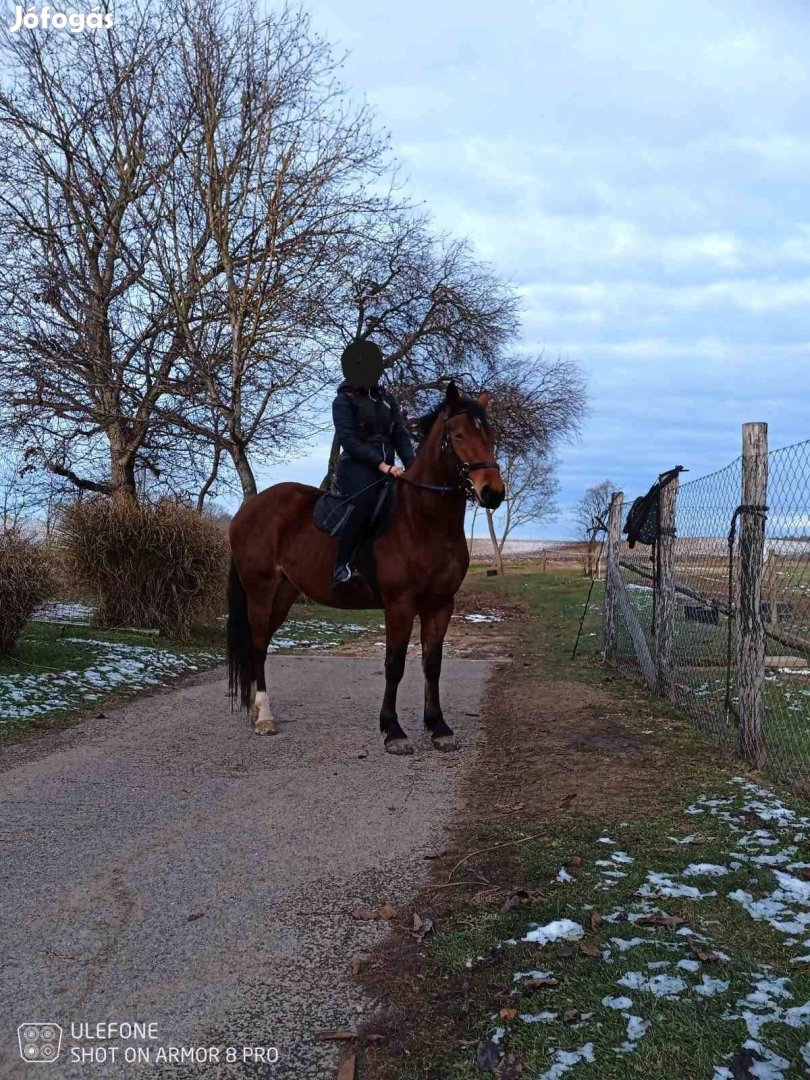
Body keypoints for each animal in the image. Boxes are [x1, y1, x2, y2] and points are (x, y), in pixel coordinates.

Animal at [226, 384, 501, 756]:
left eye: (490, 435)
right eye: (458, 435)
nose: (493, 492)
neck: (422, 521)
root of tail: (246, 510)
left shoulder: (441, 604)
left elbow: (432, 664)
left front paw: (438, 727)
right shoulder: (400, 605)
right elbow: (395, 665)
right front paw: (393, 731)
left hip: (283, 593)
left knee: (263, 643)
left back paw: (257, 710)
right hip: (260, 590)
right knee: (256, 643)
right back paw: (265, 718)